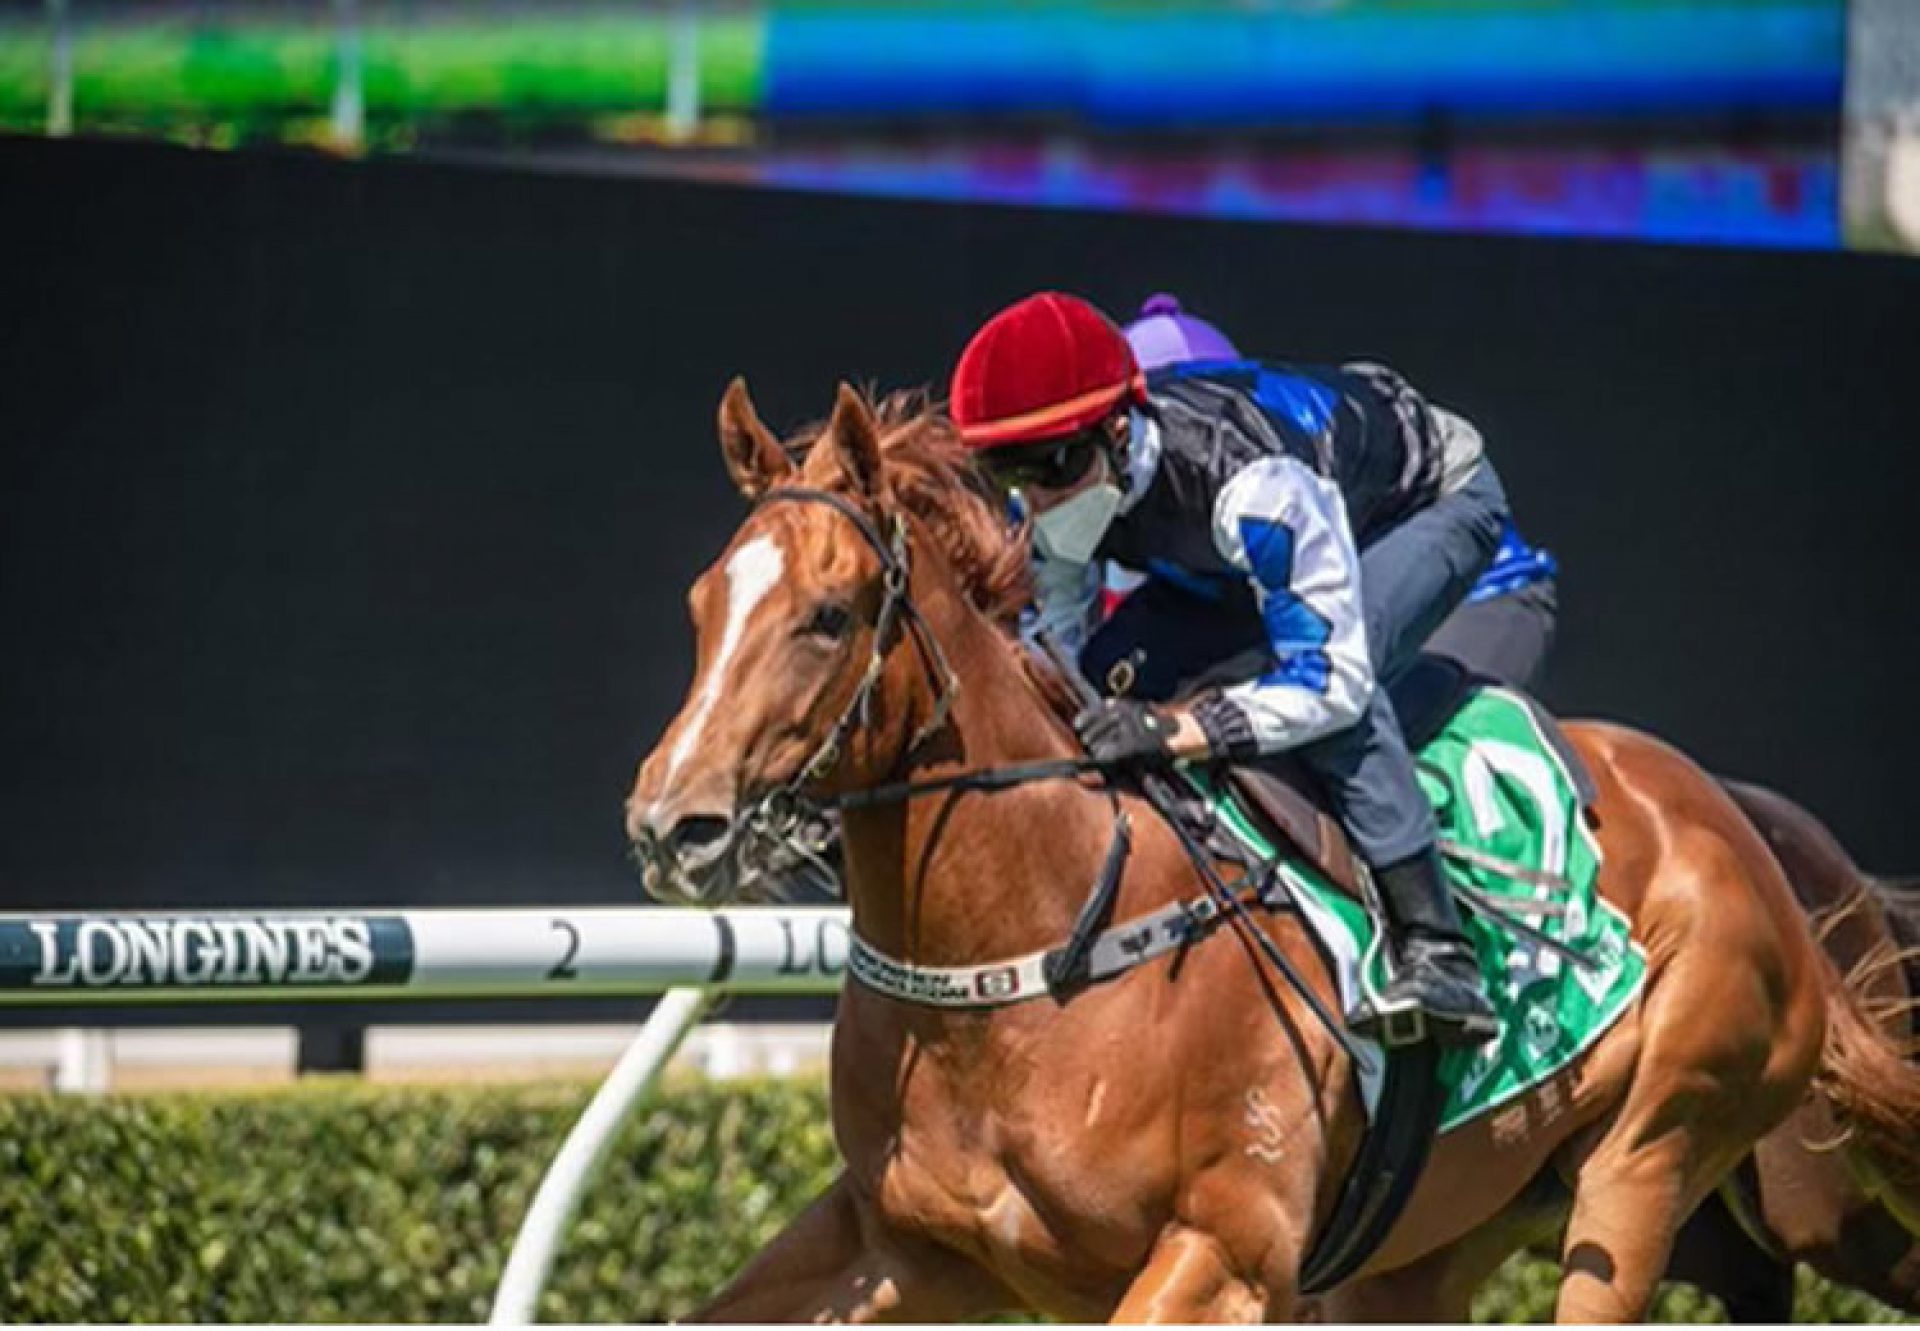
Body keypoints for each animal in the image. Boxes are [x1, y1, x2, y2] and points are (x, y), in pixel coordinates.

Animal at [625, 378, 1920, 1321]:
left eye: (826, 616)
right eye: (697, 604)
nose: (671, 820)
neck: (1039, 945)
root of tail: (1732, 819)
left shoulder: (1226, 1248)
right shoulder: (896, 1241)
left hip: (1667, 1164)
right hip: (1435, 1245)